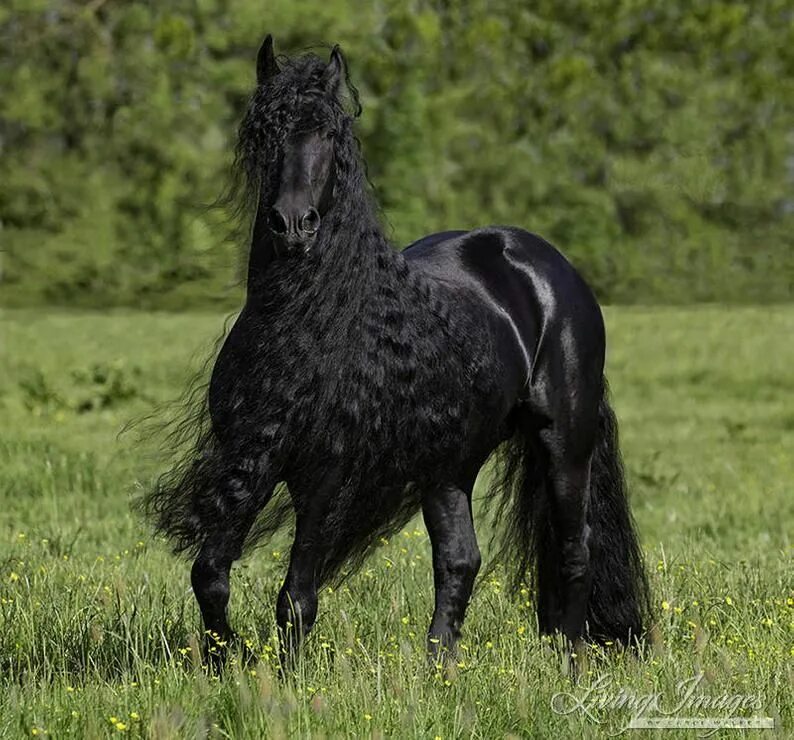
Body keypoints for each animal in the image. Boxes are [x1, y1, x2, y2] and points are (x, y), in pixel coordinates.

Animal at [145, 37, 648, 668]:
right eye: (263, 131)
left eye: (330, 133)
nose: (293, 225)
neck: (307, 321)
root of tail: (546, 265)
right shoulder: (251, 457)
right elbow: (209, 574)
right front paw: (225, 662)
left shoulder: (324, 475)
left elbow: (296, 597)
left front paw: (281, 680)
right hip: (452, 464)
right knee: (460, 560)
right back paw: (439, 667)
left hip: (564, 440)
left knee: (573, 549)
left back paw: (572, 664)